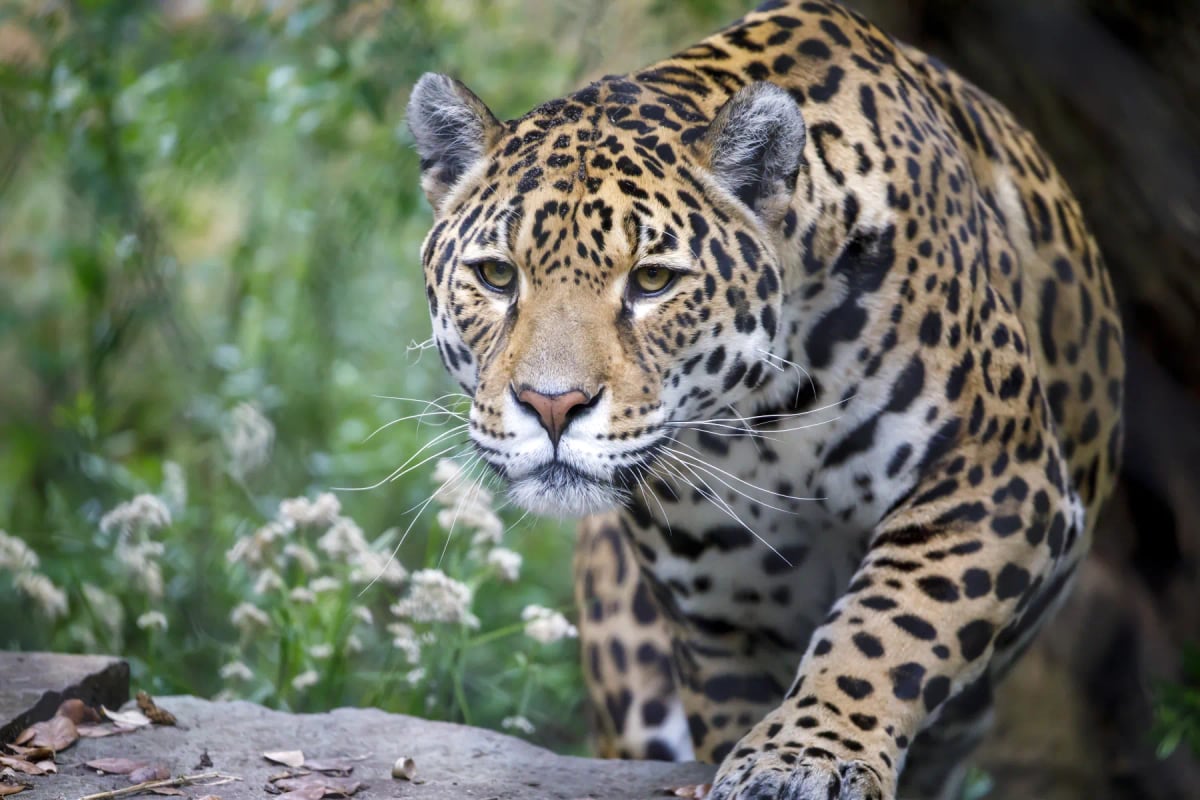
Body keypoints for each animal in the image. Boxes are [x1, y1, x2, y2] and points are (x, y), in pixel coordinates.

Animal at [404, 1, 1124, 797]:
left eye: (652, 280)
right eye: (497, 275)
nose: (552, 406)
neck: (764, 414)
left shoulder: (998, 473)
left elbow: (886, 625)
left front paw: (805, 756)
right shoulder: (711, 579)